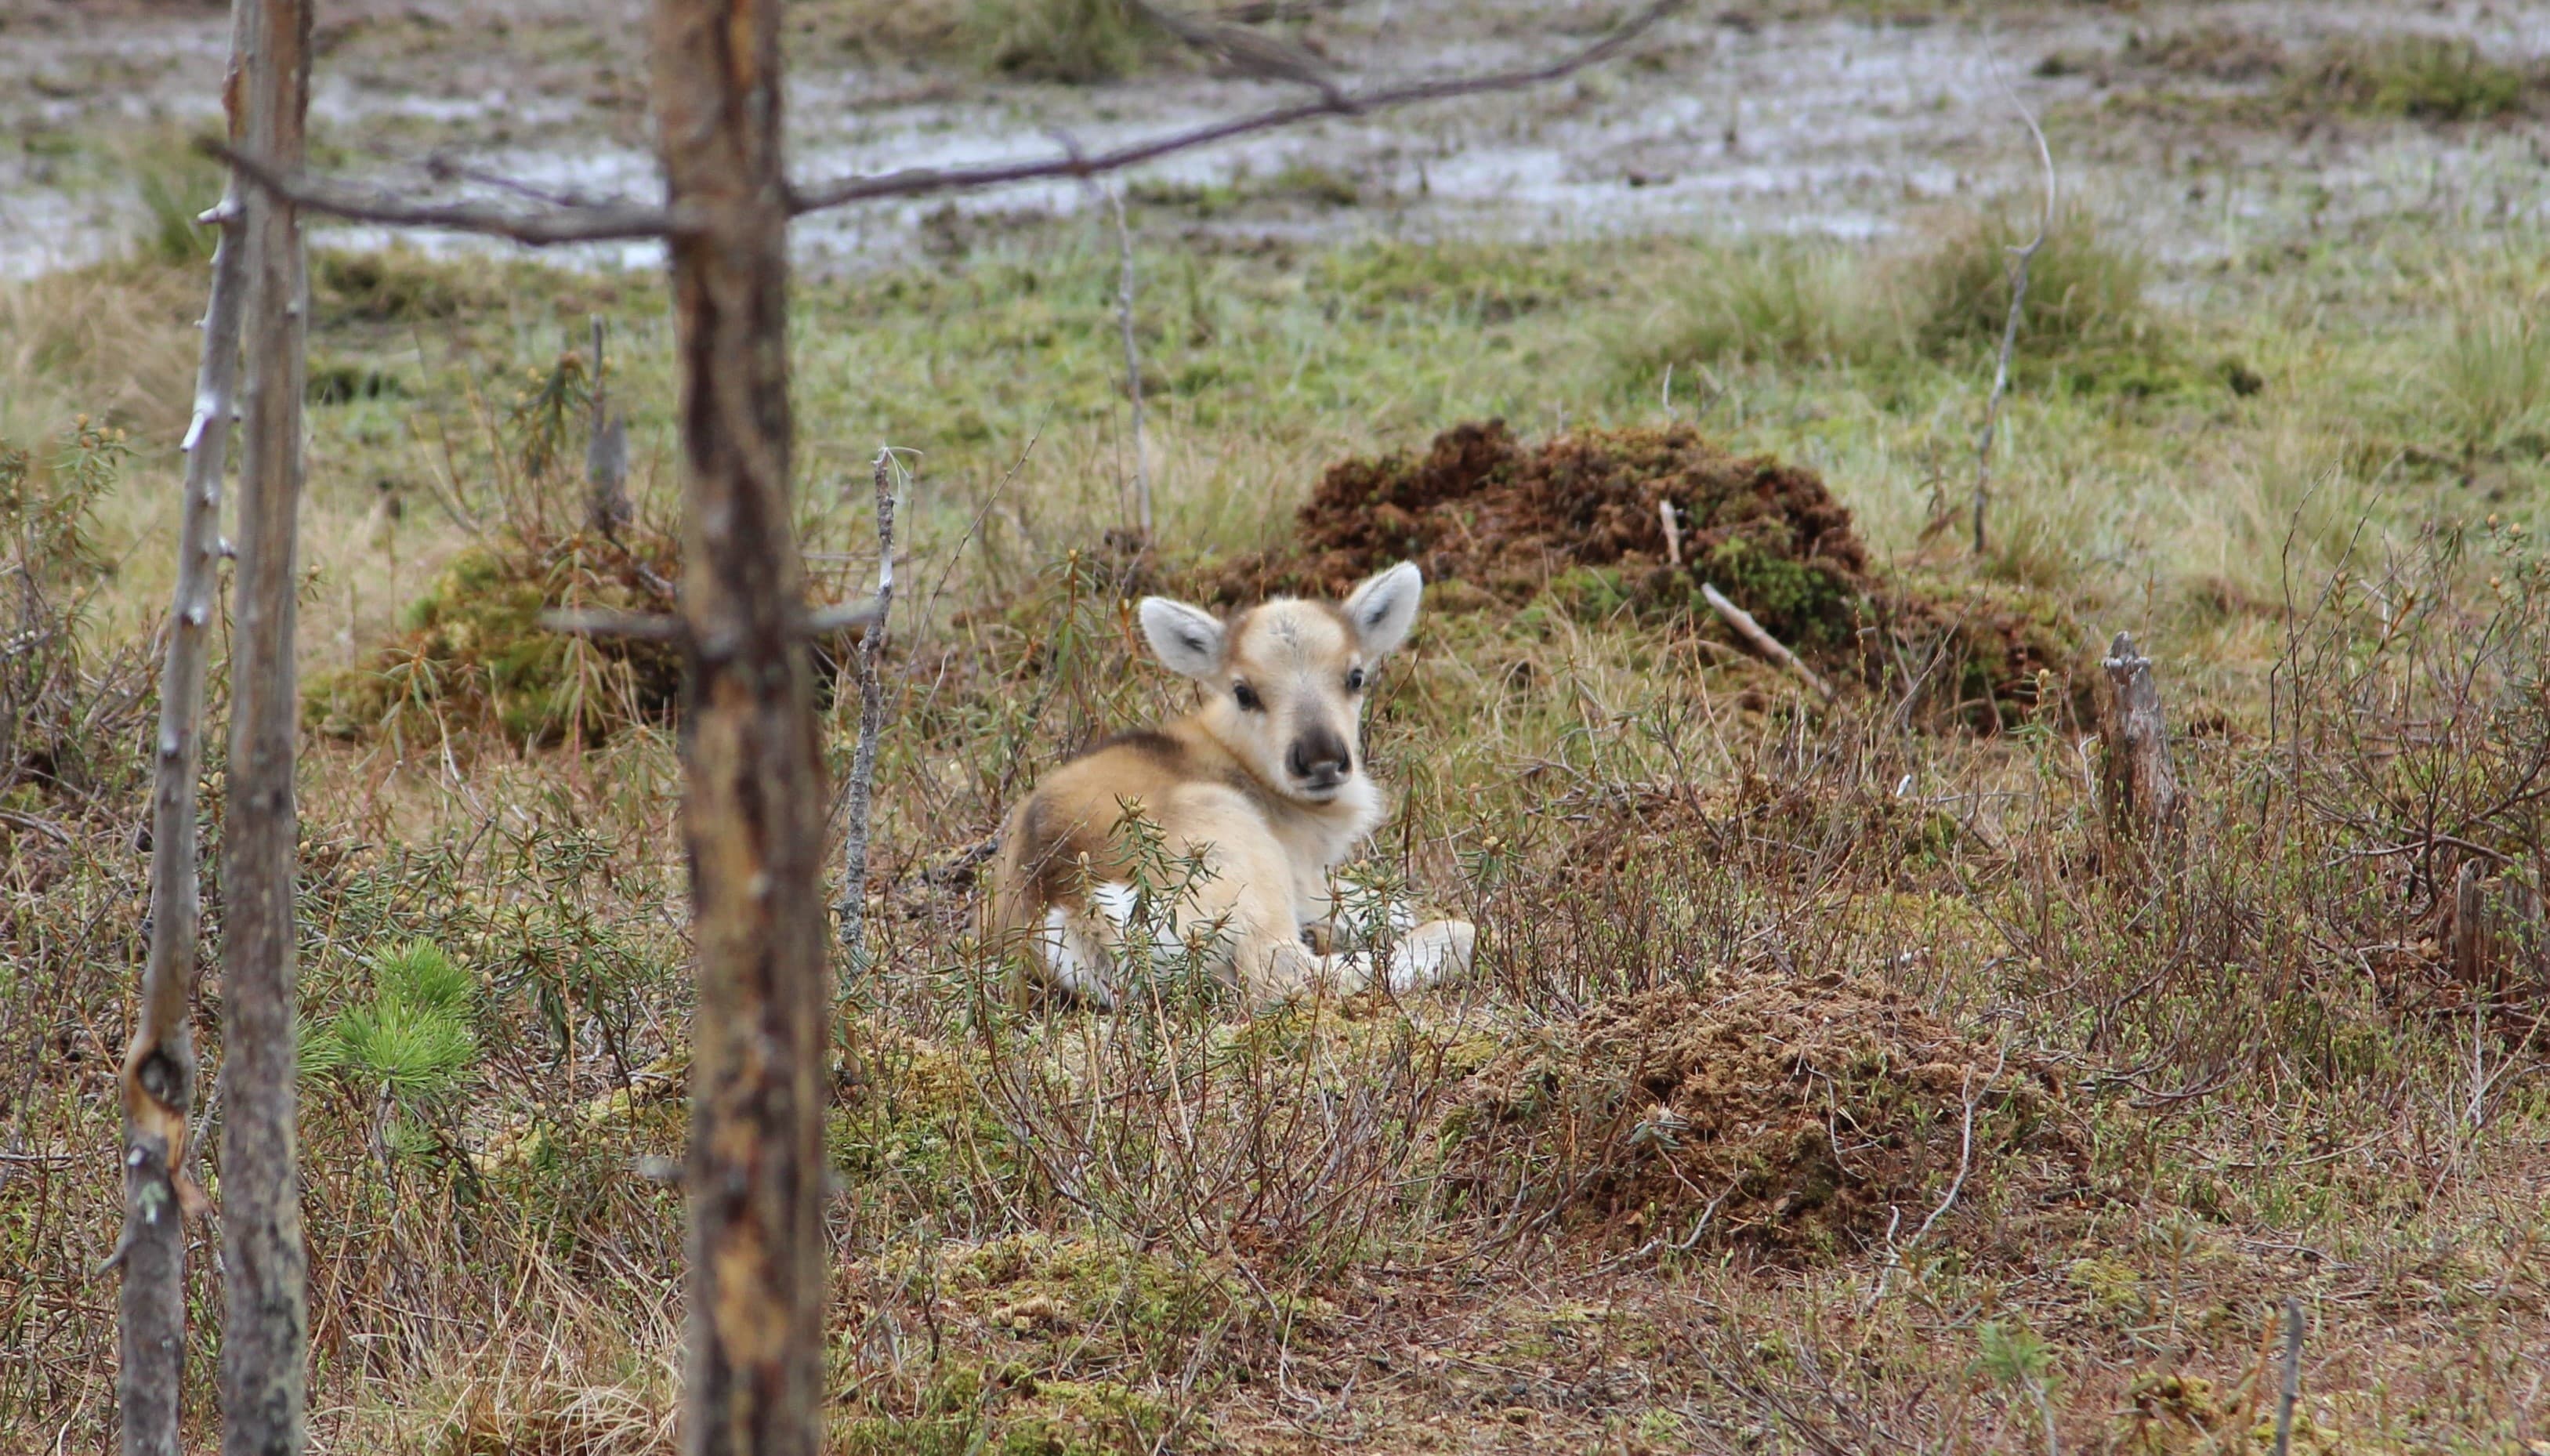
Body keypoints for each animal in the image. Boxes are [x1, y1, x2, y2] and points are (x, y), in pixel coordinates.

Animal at [986, 561, 1476, 1009]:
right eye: (1244, 692)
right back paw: (1448, 935)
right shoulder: (1302, 875)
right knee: (1283, 972)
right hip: (1240, 850)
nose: (1321, 762)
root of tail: (1073, 907)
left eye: (1356, 676)